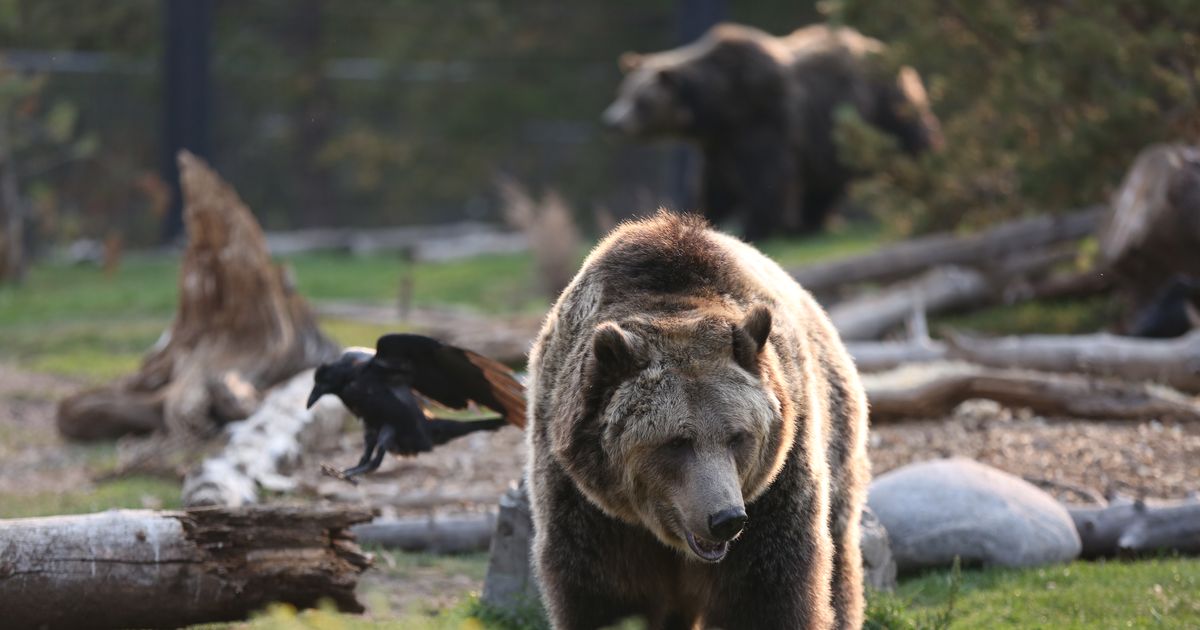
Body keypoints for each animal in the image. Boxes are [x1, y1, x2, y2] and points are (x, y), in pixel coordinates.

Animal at [526, 211, 871, 629]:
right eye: (676, 441)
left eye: (738, 436)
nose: (725, 519)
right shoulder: (589, 507)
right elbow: (601, 596)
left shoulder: (775, 492)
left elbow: (769, 593)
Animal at [602, 23, 941, 240]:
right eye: (623, 92)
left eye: (641, 100)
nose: (612, 121)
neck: (718, 107)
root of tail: (882, 48)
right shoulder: (719, 145)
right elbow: (713, 186)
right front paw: (697, 215)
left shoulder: (762, 117)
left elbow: (766, 178)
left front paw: (755, 228)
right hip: (835, 139)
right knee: (826, 183)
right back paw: (810, 224)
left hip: (879, 109)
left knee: (911, 144)